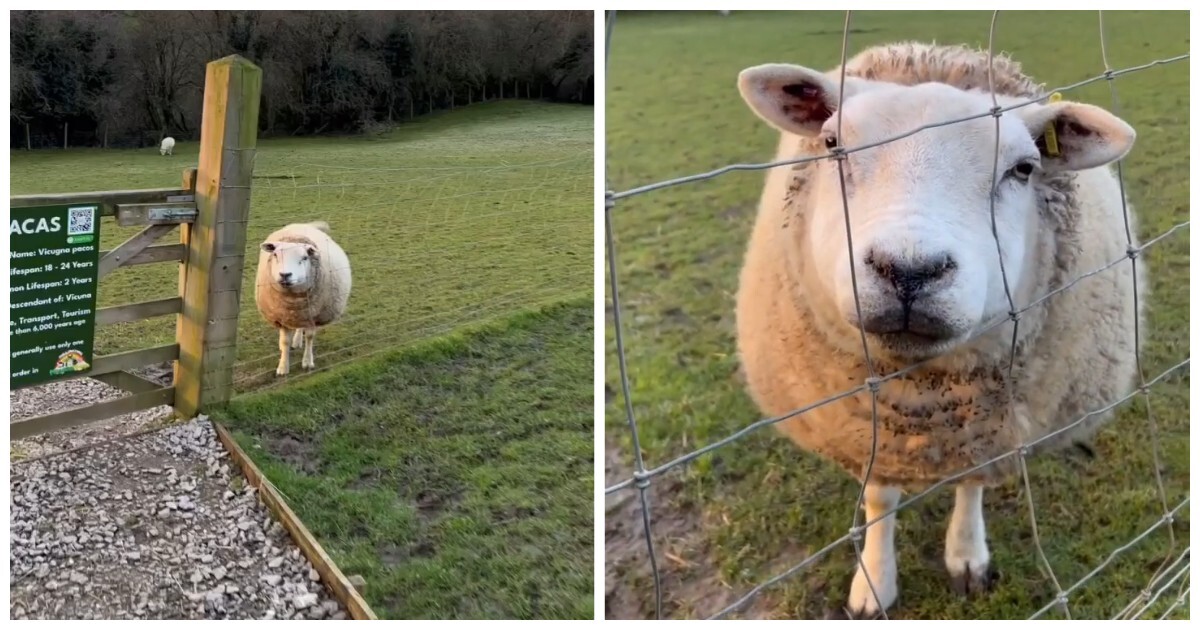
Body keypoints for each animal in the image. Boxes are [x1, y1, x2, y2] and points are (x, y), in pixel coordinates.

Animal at [250, 220, 350, 376]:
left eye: (304, 258)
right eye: (275, 255)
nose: (285, 275)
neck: (293, 301)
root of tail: (303, 224)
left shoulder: (313, 315)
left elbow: (309, 336)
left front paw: (307, 362)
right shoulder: (282, 316)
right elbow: (285, 341)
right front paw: (283, 367)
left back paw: (297, 341)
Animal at [729, 41, 1142, 614]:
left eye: (1023, 169)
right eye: (832, 144)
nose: (909, 270)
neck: (925, 409)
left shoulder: (987, 429)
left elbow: (972, 483)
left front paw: (967, 556)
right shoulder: (870, 429)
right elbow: (880, 497)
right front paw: (874, 585)